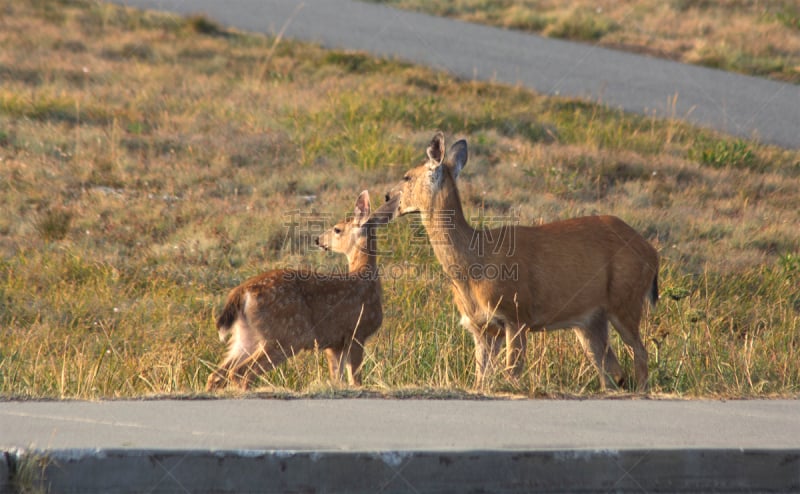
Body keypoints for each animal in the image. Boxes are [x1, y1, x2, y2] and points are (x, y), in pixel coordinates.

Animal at [206, 190, 390, 390]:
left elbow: (337, 377)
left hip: (247, 335)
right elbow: (355, 379)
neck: (365, 278)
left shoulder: (335, 343)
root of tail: (243, 292)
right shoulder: (356, 331)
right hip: (285, 335)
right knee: (242, 372)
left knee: (217, 374)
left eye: (337, 229)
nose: (318, 240)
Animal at [384, 133, 660, 392]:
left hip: (625, 299)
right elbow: (480, 380)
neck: (474, 263)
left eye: (407, 177)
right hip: (590, 319)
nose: (387, 195)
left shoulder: (516, 313)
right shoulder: (482, 327)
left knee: (640, 353)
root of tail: (652, 253)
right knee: (611, 369)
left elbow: (511, 374)